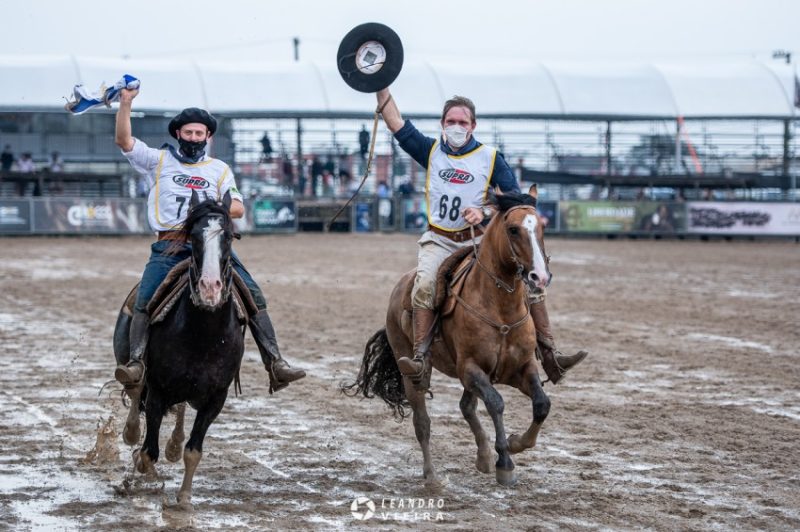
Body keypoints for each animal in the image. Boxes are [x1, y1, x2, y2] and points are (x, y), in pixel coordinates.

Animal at [112, 191, 244, 508]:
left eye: (229, 237)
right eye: (194, 236)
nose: (210, 288)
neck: (204, 336)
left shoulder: (216, 399)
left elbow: (193, 450)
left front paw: (184, 498)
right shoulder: (159, 391)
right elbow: (148, 452)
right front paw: (138, 470)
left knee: (180, 408)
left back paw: (172, 444)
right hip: (134, 363)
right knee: (135, 388)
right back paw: (131, 432)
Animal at [346, 191, 552, 486]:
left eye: (542, 228)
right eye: (513, 229)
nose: (540, 277)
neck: (500, 308)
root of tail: (400, 287)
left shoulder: (520, 368)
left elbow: (542, 404)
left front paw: (515, 444)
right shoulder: (470, 369)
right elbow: (496, 403)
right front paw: (505, 461)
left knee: (466, 407)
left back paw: (483, 456)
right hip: (412, 372)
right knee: (422, 422)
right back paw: (432, 477)